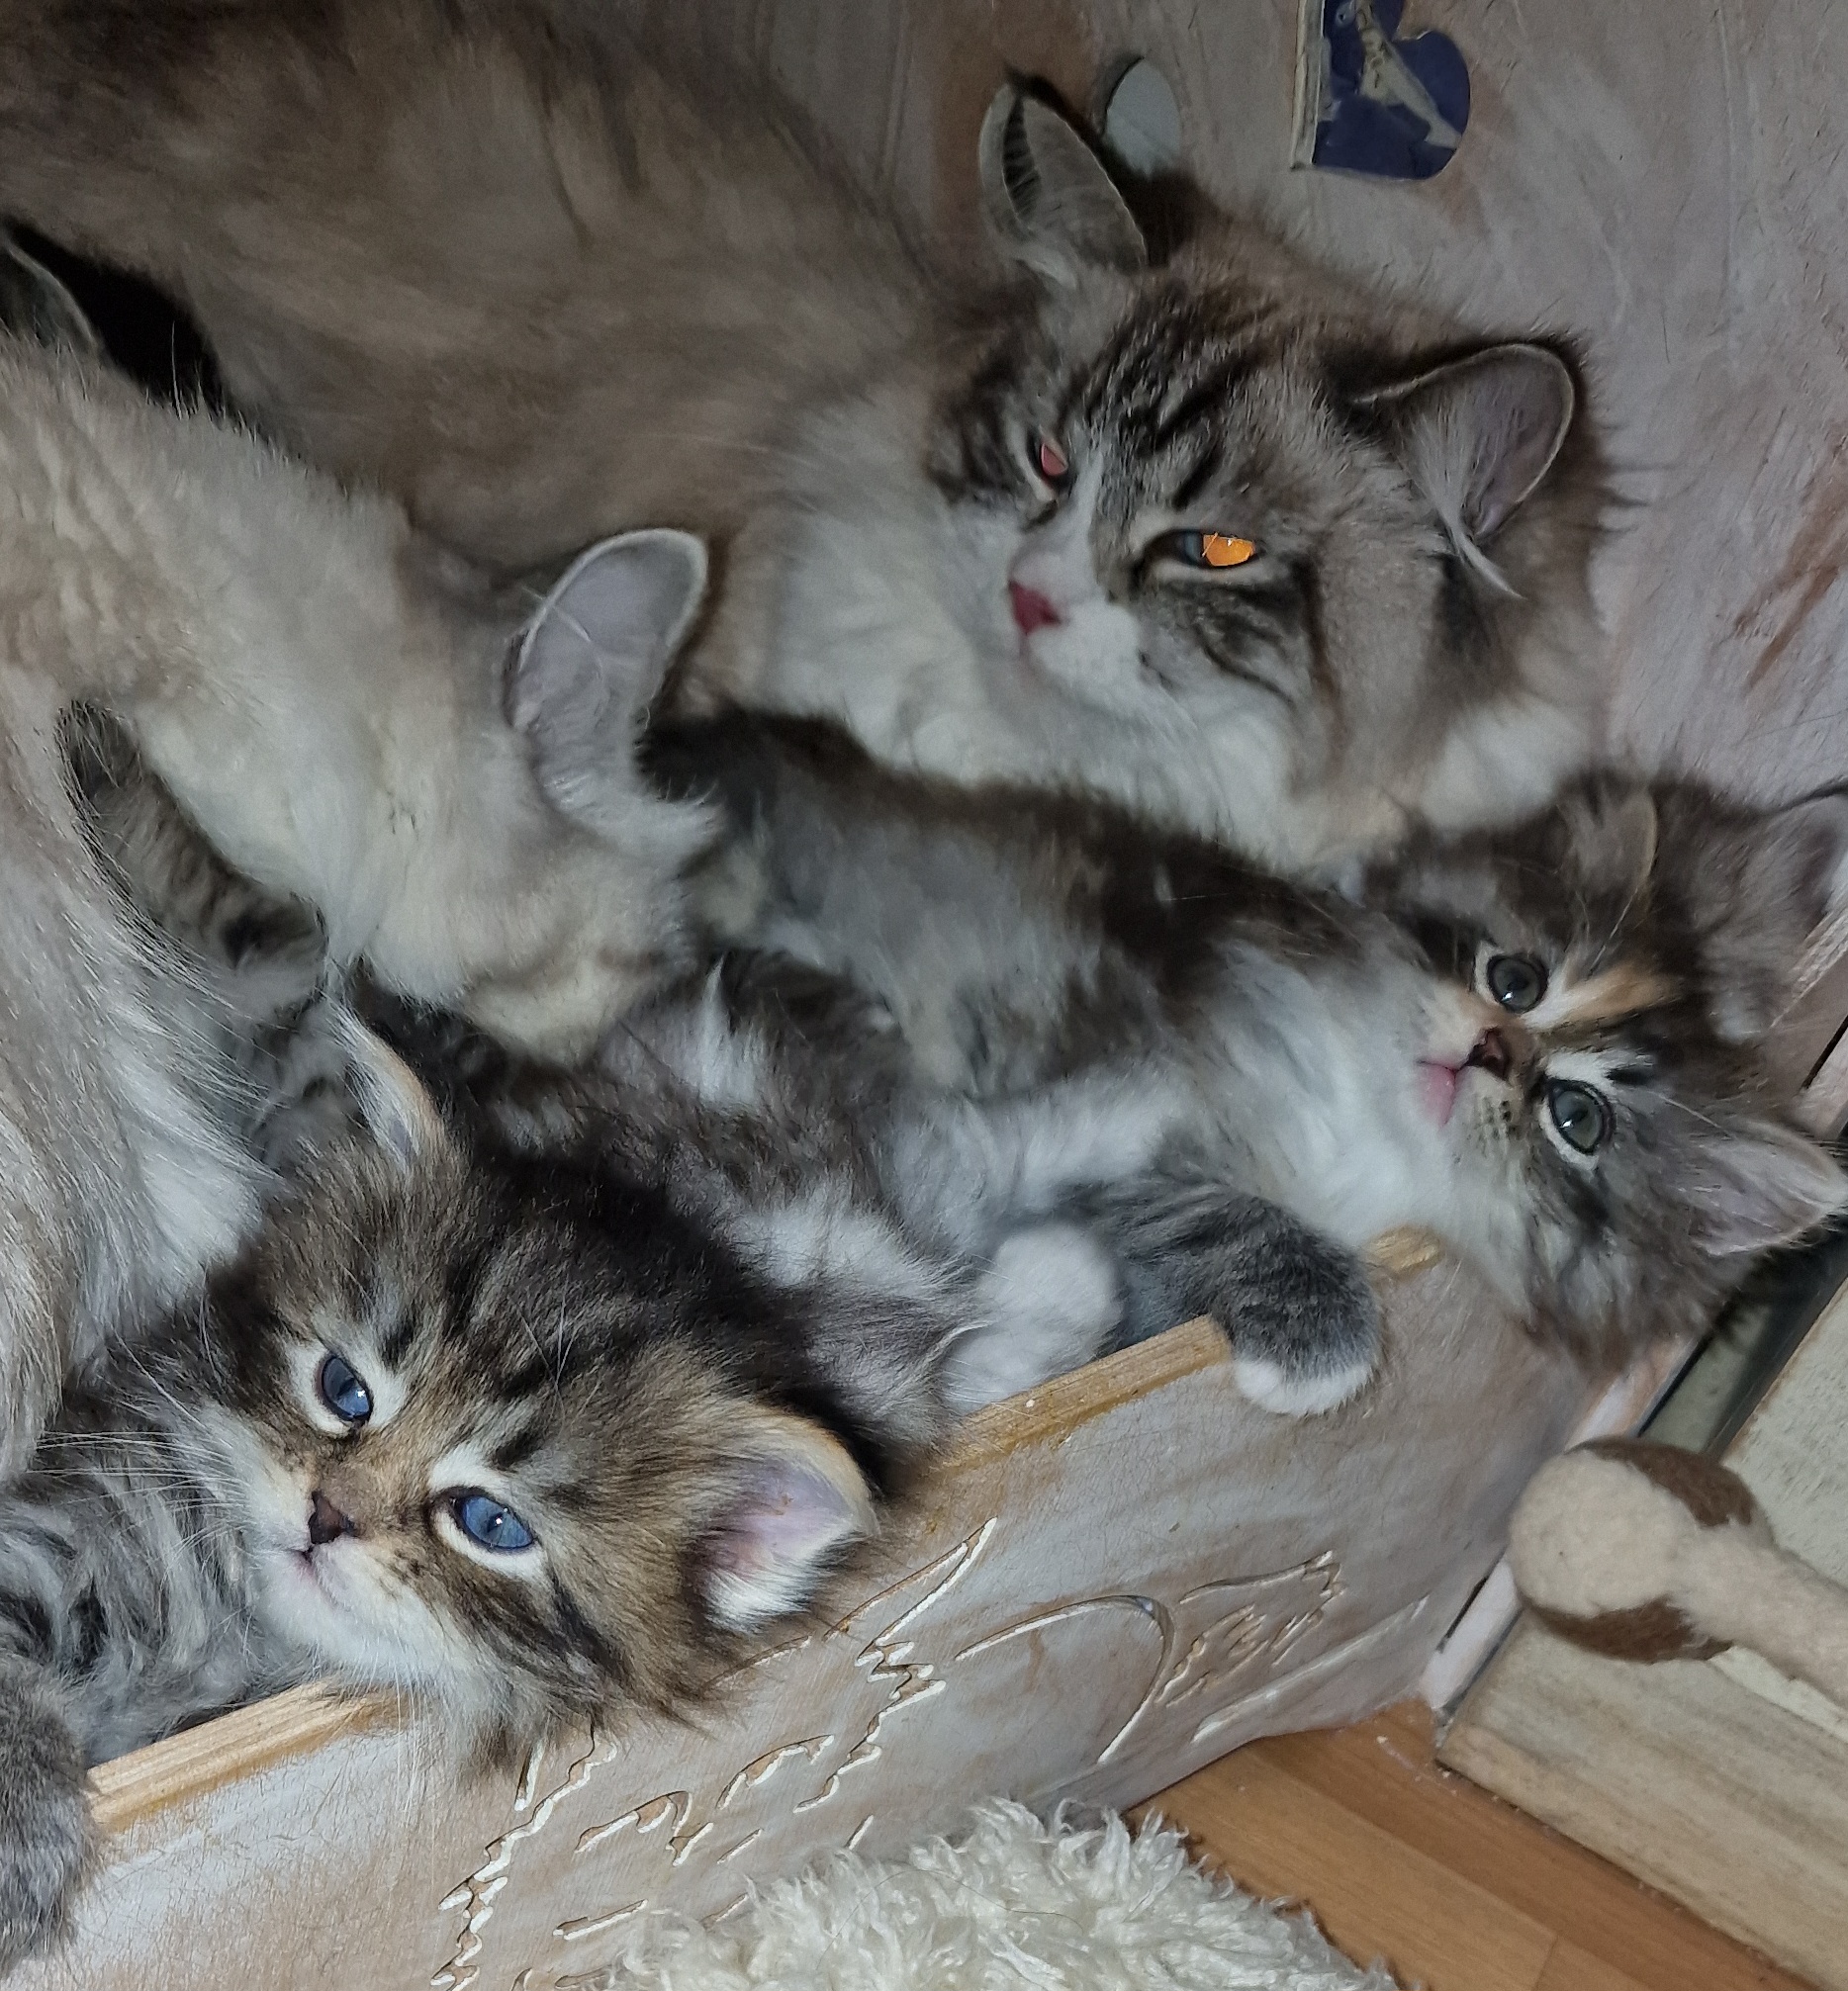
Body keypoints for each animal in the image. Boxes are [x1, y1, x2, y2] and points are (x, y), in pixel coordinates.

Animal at [646, 712, 1848, 1408]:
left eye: (1580, 1121)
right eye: (1515, 980)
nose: (1491, 1048)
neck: (1362, 1132)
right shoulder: (1135, 1085)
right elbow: (1217, 1211)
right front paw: (1319, 1341)